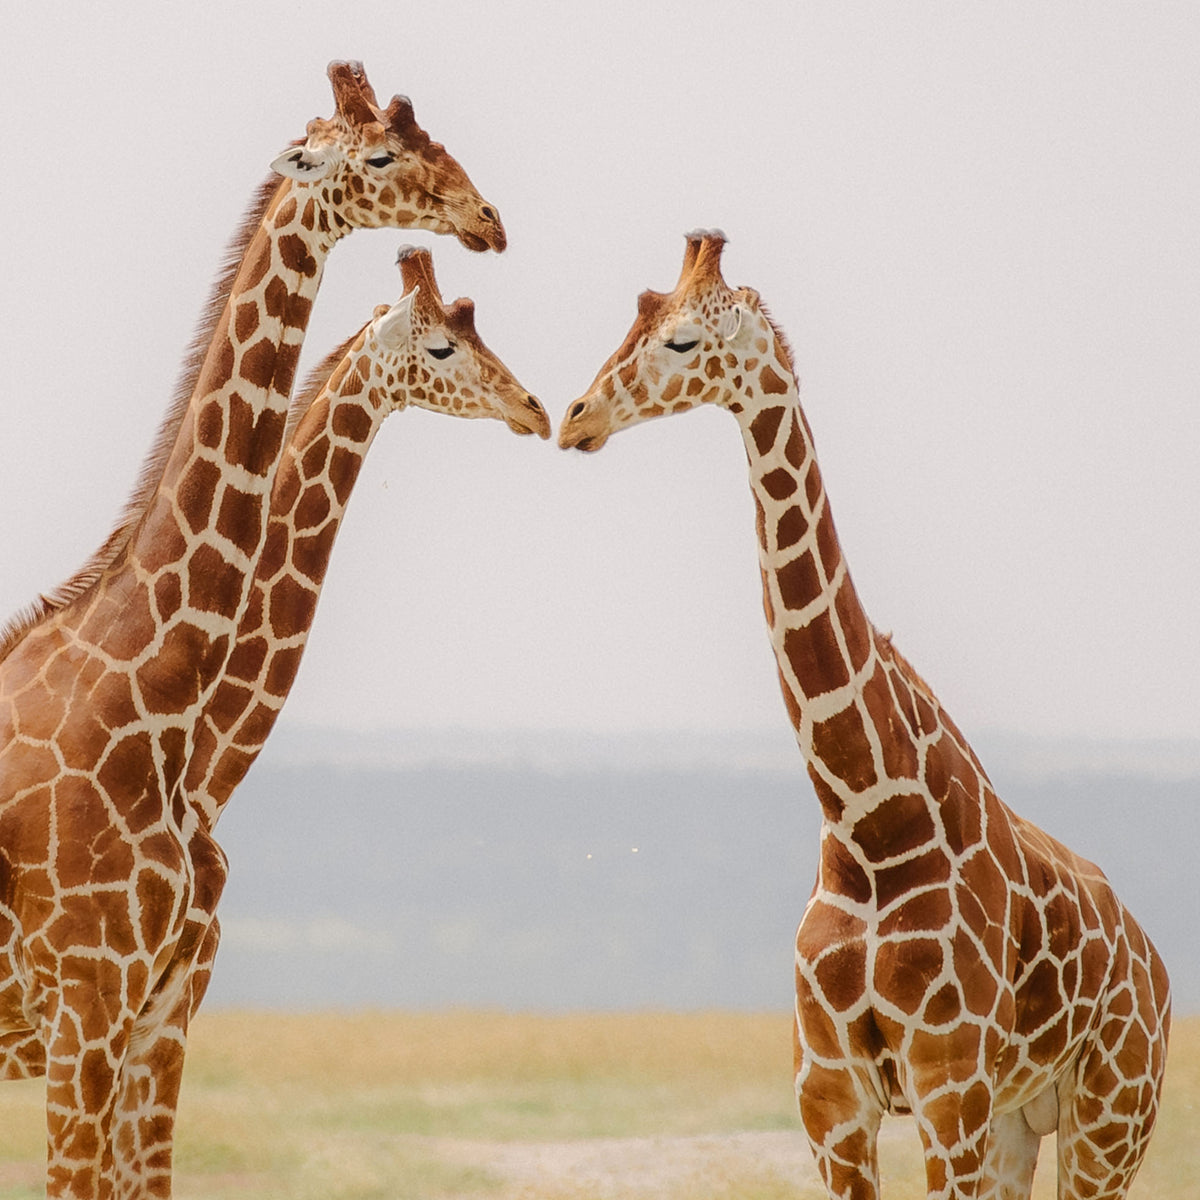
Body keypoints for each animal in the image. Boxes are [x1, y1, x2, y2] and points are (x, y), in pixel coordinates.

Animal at [557, 230, 1170, 1200]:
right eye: (639, 317)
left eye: (683, 341)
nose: (576, 417)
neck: (868, 820)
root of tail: (1156, 965)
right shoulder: (832, 1097)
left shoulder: (947, 1086)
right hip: (1018, 1122)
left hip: (1109, 1117)